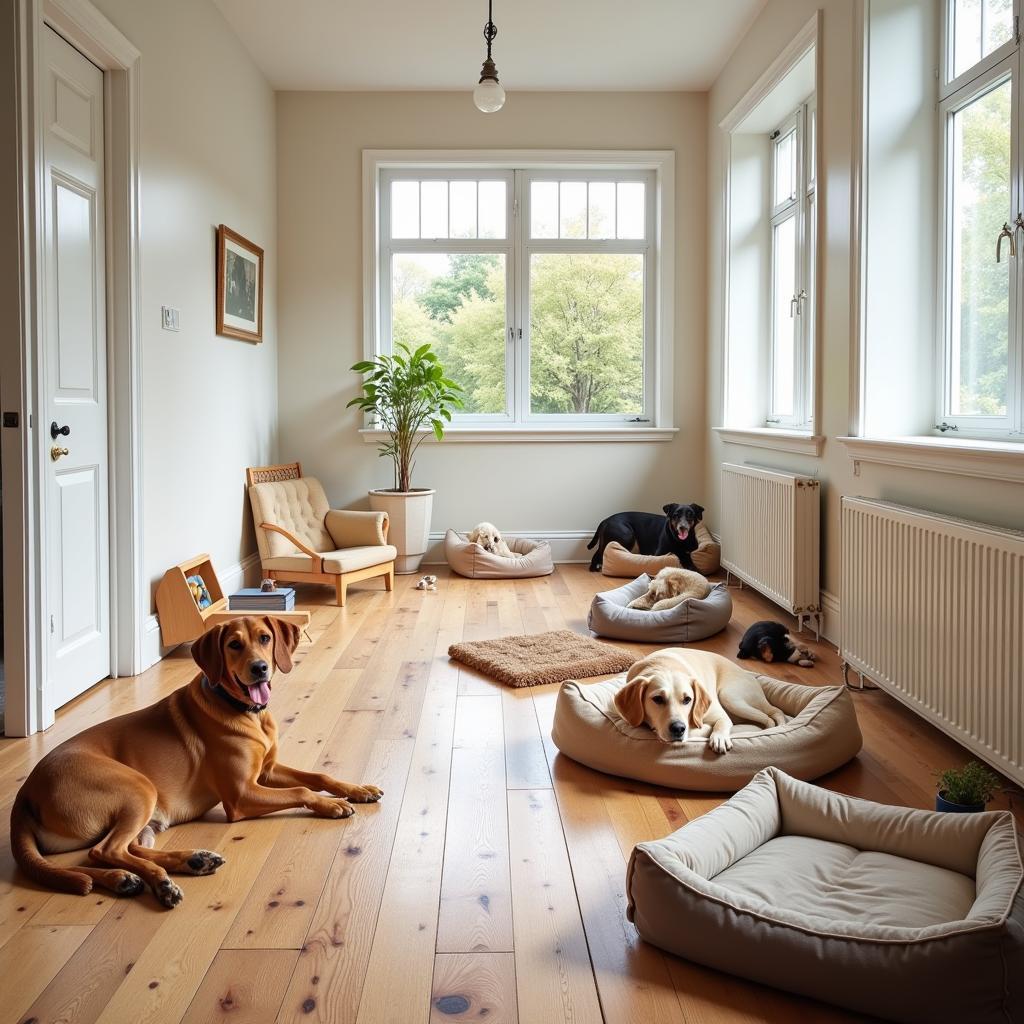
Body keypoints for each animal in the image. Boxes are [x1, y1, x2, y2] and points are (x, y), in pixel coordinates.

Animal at [12, 610, 380, 909]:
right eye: (234, 645)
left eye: (265, 638)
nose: (260, 668)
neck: (245, 712)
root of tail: (26, 790)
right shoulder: (241, 795)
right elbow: (302, 791)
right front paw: (332, 805)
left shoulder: (267, 771)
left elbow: (319, 777)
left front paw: (358, 790)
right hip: (138, 788)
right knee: (104, 850)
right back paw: (158, 881)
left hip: (147, 816)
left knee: (125, 850)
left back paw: (178, 866)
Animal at [610, 647, 786, 753]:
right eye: (657, 699)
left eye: (688, 699)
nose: (679, 729)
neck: (664, 666)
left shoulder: (720, 715)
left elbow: (720, 723)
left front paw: (719, 737)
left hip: (730, 697)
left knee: (769, 718)